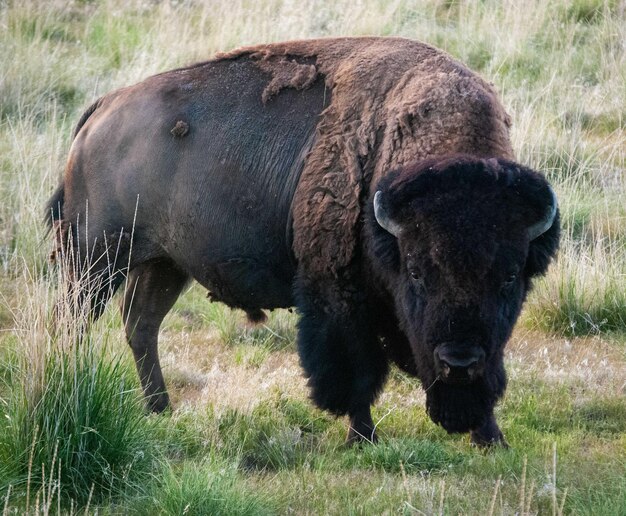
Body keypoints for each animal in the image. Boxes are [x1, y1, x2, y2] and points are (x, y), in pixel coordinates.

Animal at [47, 38, 556, 446]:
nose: (459, 360)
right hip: (96, 258)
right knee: (74, 321)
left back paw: (160, 408)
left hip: (163, 264)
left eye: (510, 276)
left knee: (141, 323)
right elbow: (355, 370)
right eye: (415, 271)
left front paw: (492, 438)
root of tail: (103, 108)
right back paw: (71, 384)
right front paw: (363, 437)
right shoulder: (338, 295)